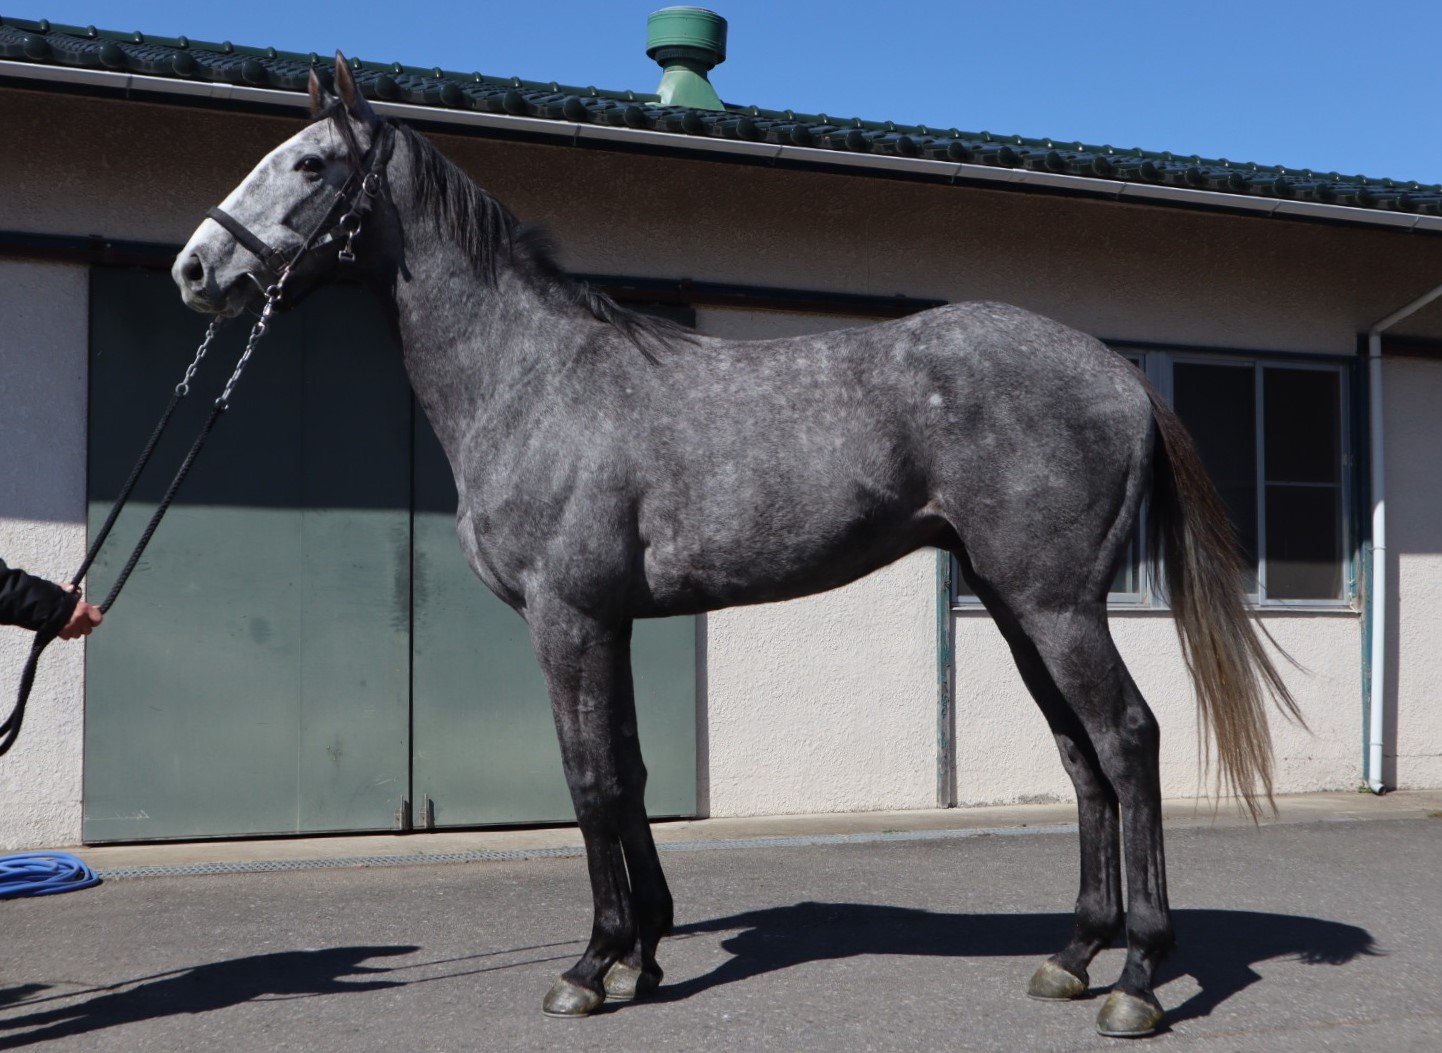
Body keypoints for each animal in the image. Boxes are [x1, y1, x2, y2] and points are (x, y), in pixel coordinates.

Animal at [171, 54, 1300, 1038]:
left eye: (311, 164)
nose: (195, 267)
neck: (532, 379)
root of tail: (1117, 373)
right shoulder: (614, 622)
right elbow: (628, 773)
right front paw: (643, 955)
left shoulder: (567, 619)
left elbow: (589, 781)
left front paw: (591, 966)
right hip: (1022, 606)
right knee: (1080, 758)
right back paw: (1072, 957)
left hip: (1056, 605)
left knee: (1128, 741)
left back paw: (1140, 978)